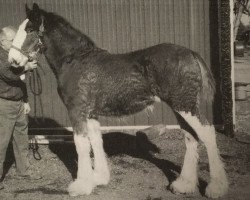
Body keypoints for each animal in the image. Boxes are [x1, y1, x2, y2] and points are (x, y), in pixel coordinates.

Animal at [8, 3, 229, 198]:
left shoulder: (76, 111)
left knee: (207, 133)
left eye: (29, 29)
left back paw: (216, 188)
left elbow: (81, 145)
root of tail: (191, 53)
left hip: (185, 106)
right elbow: (96, 141)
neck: (75, 60)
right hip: (180, 107)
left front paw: (81, 186)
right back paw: (184, 185)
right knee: (191, 137)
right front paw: (99, 178)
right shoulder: (91, 114)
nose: (12, 61)